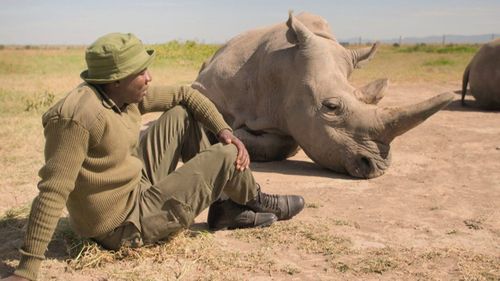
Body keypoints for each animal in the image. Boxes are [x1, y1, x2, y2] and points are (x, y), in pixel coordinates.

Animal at [192, 12, 454, 178]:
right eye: (331, 107)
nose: (378, 168)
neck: (285, 69)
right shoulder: (207, 87)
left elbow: (283, 144)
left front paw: (236, 136)